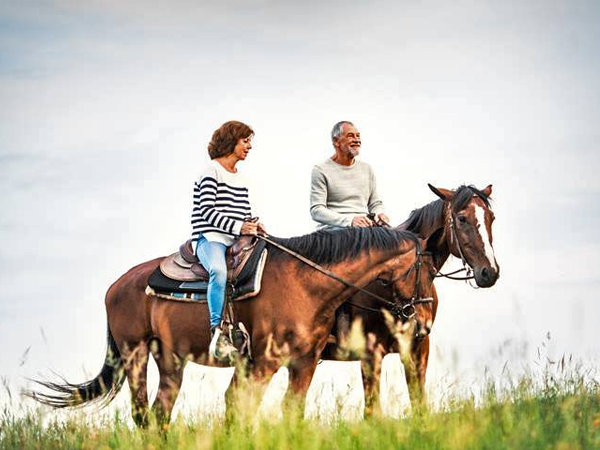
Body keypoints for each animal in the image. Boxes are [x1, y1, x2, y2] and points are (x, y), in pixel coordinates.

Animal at [28, 227, 434, 428]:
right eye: (426, 270)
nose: (425, 322)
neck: (306, 283)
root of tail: (115, 286)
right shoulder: (262, 363)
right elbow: (240, 409)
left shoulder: (303, 364)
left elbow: (289, 412)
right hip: (134, 354)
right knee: (142, 413)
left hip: (170, 359)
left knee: (159, 413)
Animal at [326, 185, 500, 410]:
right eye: (461, 218)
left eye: (491, 217)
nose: (490, 272)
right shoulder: (370, 355)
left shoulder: (418, 349)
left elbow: (419, 403)